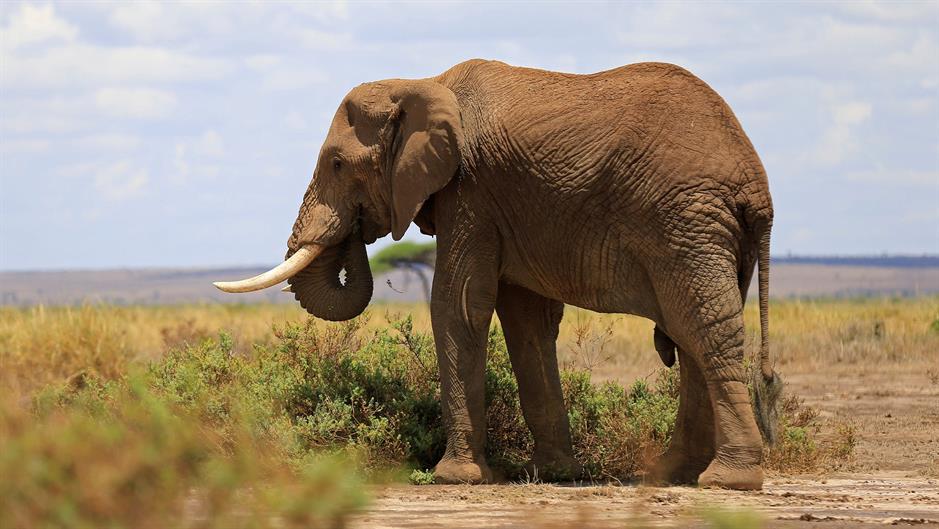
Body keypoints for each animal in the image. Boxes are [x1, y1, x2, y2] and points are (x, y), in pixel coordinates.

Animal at [214, 59, 778, 490]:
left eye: (335, 163)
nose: (356, 230)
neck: (425, 82)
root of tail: (756, 184)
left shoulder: (471, 190)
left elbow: (459, 304)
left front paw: (455, 477)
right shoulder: (503, 205)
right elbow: (526, 320)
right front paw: (555, 474)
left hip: (685, 223)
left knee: (703, 329)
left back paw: (728, 481)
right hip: (708, 231)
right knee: (689, 336)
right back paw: (670, 475)